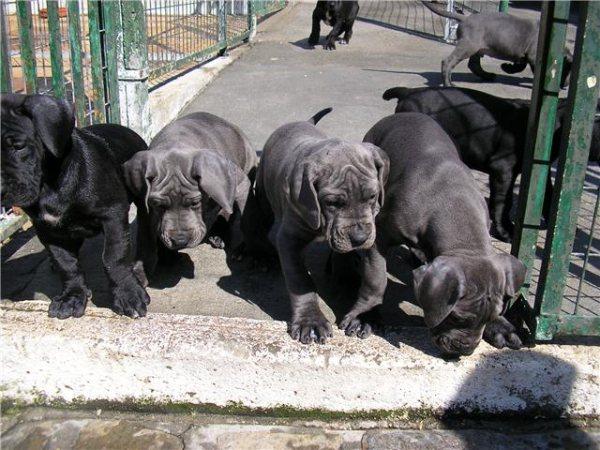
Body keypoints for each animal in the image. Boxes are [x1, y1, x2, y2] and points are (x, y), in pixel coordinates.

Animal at [1, 94, 151, 320]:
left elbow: (114, 256)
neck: (50, 185)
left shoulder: (113, 213)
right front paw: (71, 297)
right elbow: (66, 263)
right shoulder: (47, 229)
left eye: (18, 146)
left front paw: (128, 294)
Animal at [123, 112, 256, 274]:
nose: (180, 240)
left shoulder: (238, 185)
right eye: (158, 205)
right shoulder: (144, 206)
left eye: (195, 202)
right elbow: (147, 236)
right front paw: (152, 262)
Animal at [360, 113, 524, 358]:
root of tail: (400, 114)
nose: (466, 349)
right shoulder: (380, 237)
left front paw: (501, 327)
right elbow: (376, 277)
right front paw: (367, 316)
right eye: (457, 317)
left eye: (490, 318)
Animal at [384, 87, 600, 243]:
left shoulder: (540, 170)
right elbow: (503, 201)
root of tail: (409, 92)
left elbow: (548, 194)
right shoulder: (503, 169)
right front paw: (505, 230)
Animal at [422, 0, 572, 88]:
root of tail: (465, 18)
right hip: (468, 46)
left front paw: (506, 67)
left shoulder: (523, 55)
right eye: (566, 70)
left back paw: (488, 76)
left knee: (474, 65)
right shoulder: (533, 56)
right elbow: (526, 68)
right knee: (448, 61)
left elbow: (520, 65)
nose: (565, 86)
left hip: (477, 49)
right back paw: (449, 84)